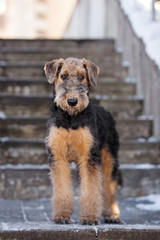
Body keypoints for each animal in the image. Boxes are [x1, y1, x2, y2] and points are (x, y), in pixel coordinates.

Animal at [43, 57, 120, 224]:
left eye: (81, 77)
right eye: (63, 76)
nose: (72, 101)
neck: (70, 118)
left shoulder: (88, 156)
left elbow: (90, 189)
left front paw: (89, 217)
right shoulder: (58, 157)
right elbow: (62, 188)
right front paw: (62, 216)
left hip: (109, 159)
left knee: (108, 188)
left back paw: (112, 214)